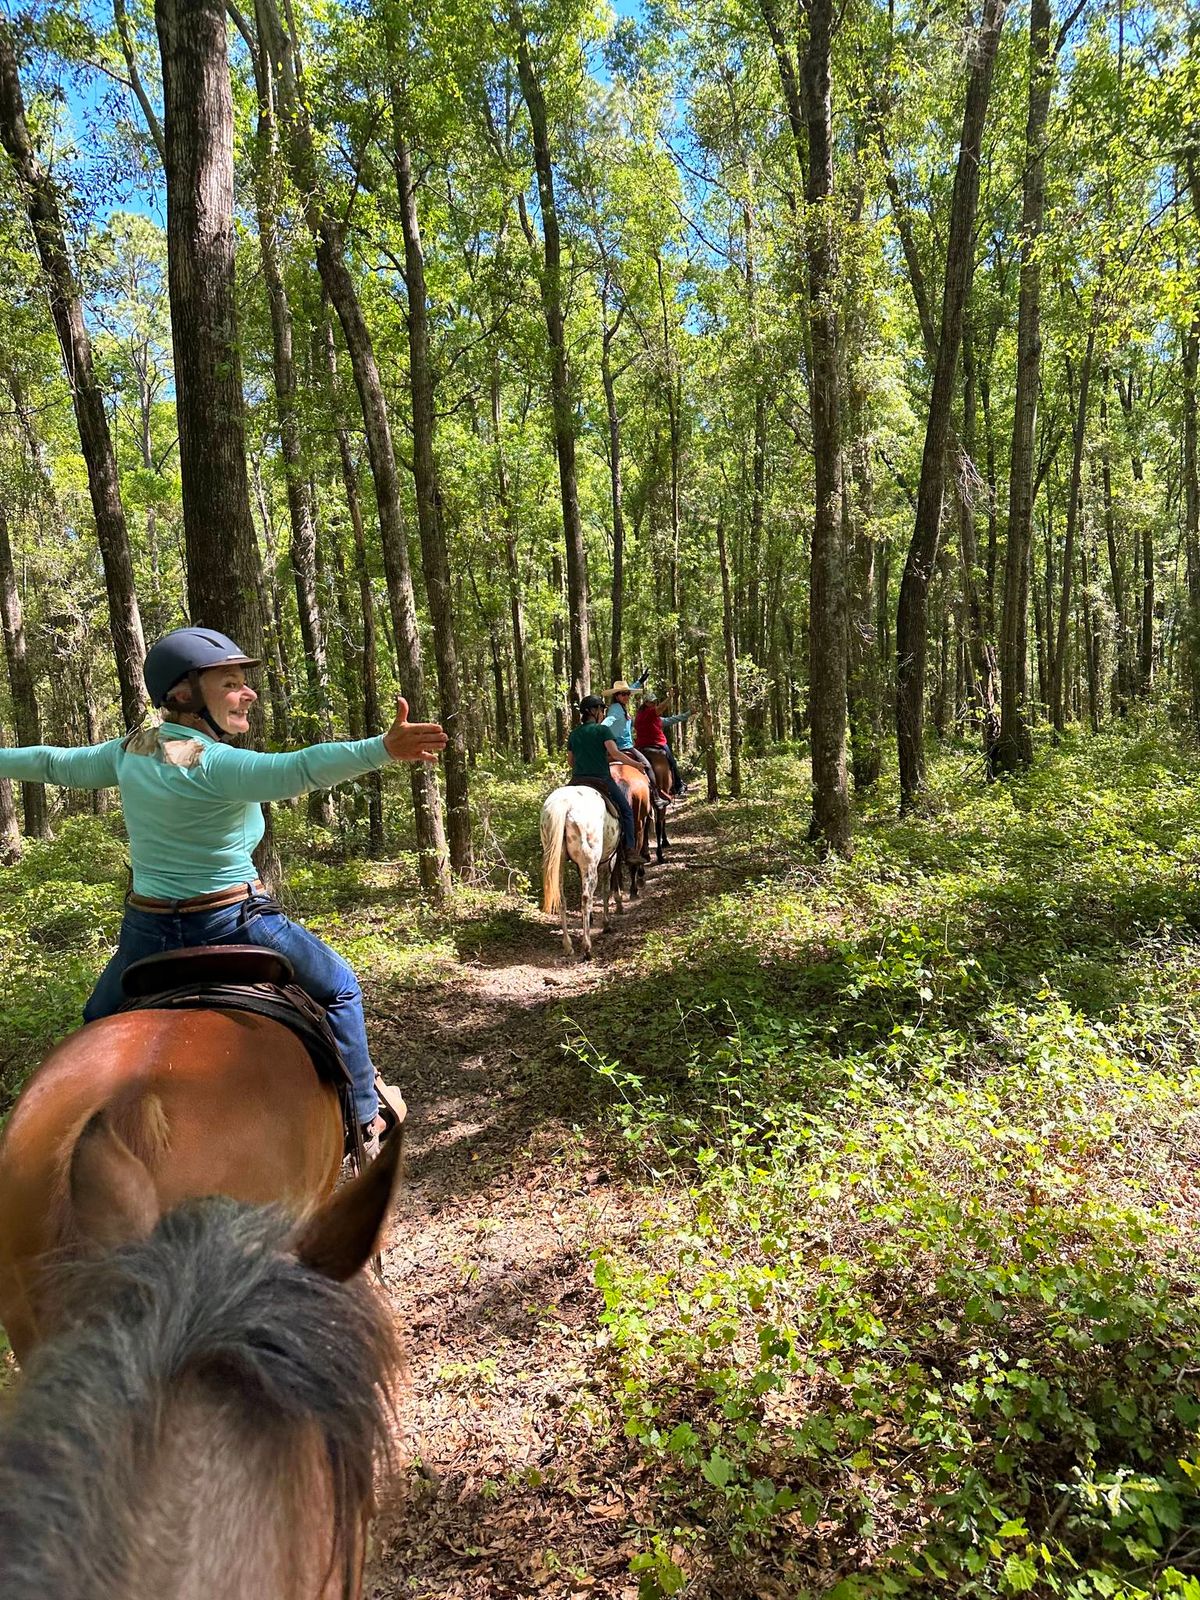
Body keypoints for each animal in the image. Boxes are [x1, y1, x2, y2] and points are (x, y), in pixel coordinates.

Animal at [544, 780, 624, 953]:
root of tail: (565, 804)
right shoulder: (609, 860)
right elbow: (606, 889)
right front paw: (607, 923)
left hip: (557, 862)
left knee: (562, 898)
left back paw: (568, 945)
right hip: (590, 863)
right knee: (586, 897)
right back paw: (587, 947)